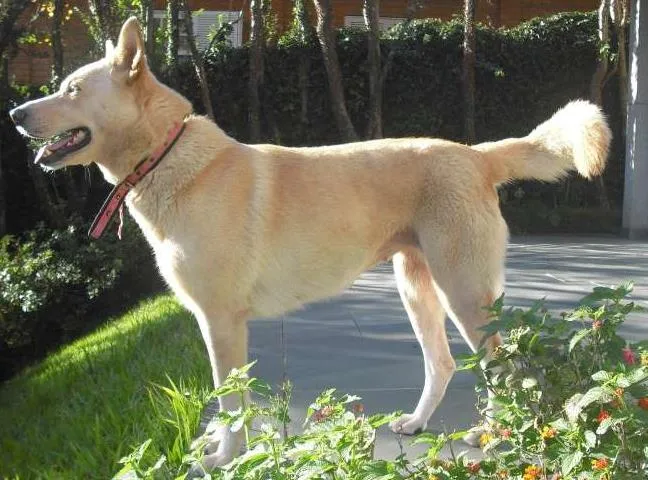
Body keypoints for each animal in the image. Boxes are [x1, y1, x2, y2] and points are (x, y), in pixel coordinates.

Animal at [10, 17, 612, 468]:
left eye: (71, 89)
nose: (14, 113)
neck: (166, 156)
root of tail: (475, 155)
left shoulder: (221, 322)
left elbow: (230, 400)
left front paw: (224, 457)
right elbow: (228, 399)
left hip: (465, 295)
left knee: (504, 368)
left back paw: (496, 437)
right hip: (418, 290)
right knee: (442, 365)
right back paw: (419, 422)